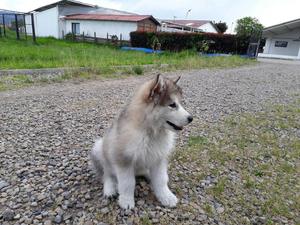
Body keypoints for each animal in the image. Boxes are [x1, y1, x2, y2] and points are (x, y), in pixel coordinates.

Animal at [90, 74, 192, 209]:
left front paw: (166, 196)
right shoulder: (124, 160)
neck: (150, 132)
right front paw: (126, 201)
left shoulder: (159, 158)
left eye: (180, 103)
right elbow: (127, 183)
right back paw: (109, 188)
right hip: (99, 149)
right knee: (106, 174)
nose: (191, 118)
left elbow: (161, 180)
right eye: (172, 105)